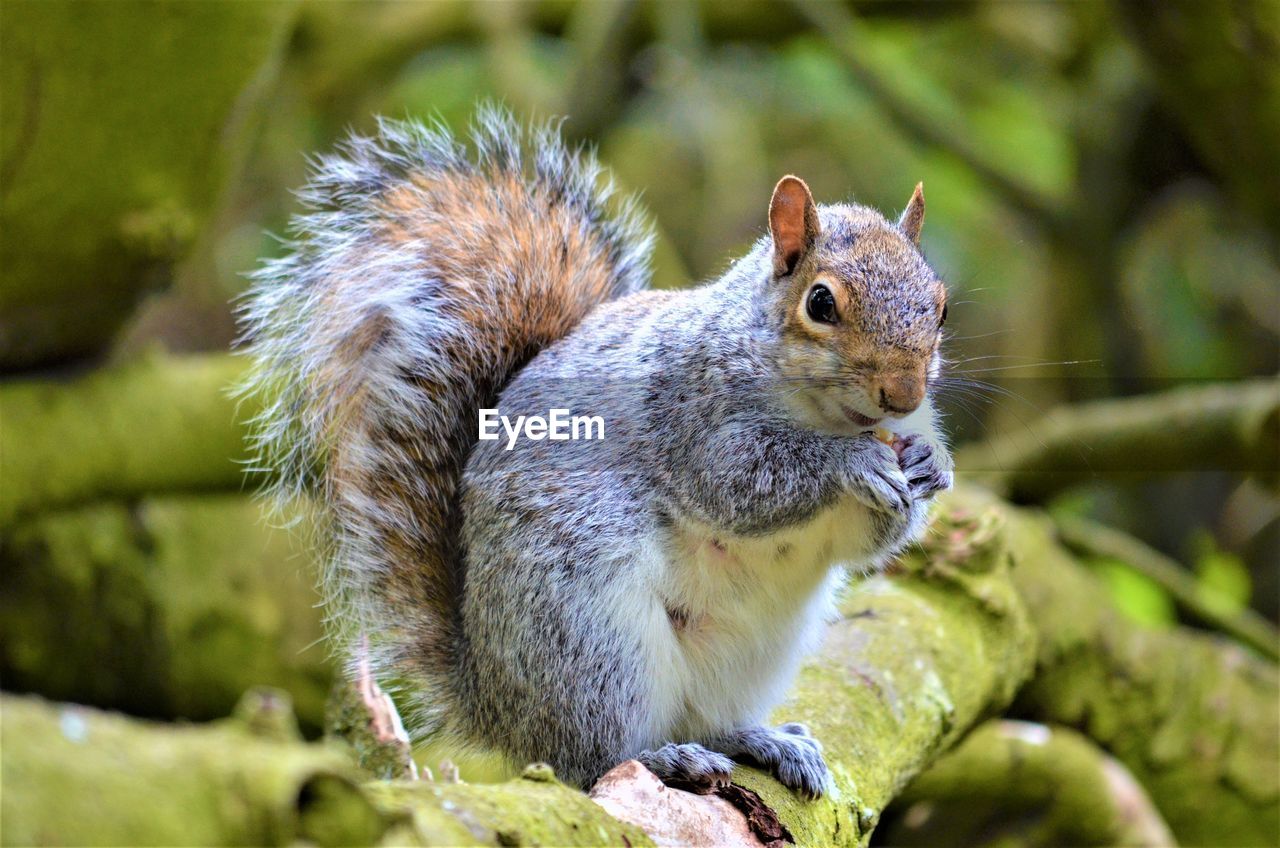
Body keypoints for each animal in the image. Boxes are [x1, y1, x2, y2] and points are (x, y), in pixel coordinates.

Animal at [240, 109, 957, 799]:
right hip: (589, 638)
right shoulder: (688, 413)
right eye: (821, 302)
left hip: (750, 652)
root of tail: (498, 709)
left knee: (705, 720)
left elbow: (861, 542)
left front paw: (928, 465)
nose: (903, 394)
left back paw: (763, 740)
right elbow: (741, 483)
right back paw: (663, 757)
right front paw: (851, 464)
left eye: (942, 306)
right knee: (591, 760)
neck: (827, 415)